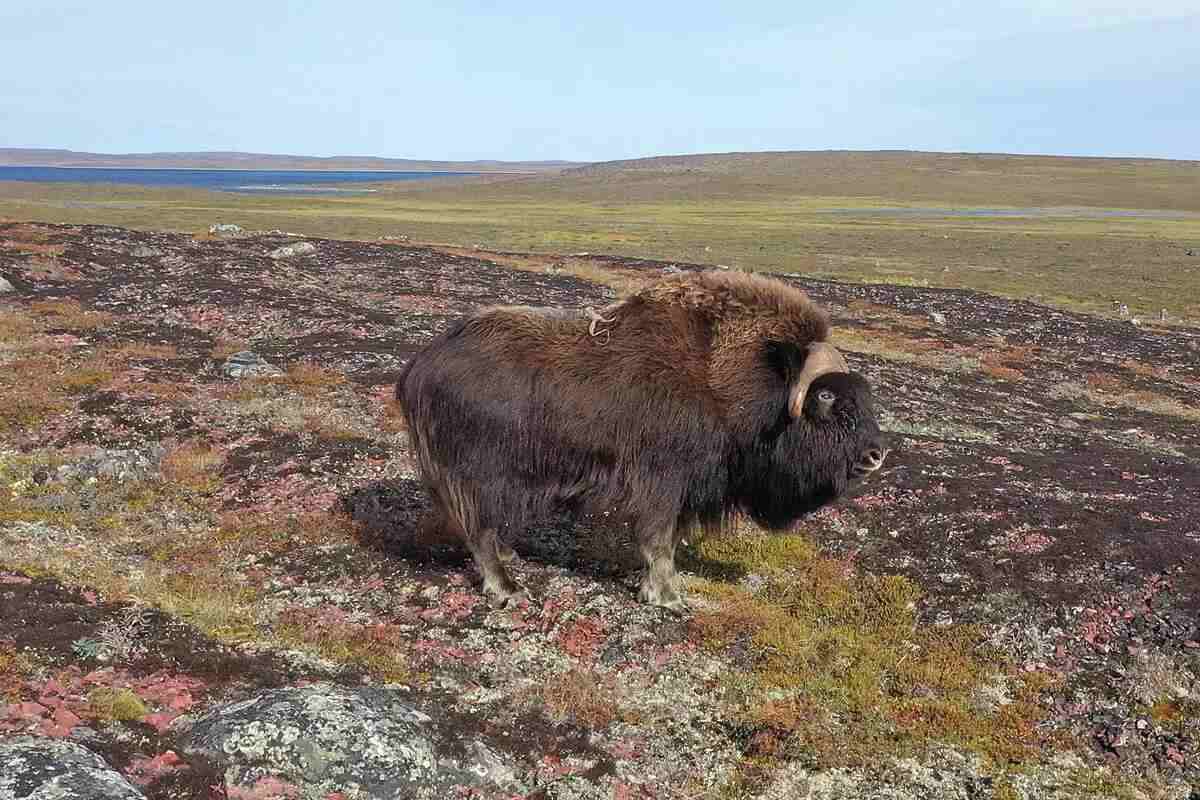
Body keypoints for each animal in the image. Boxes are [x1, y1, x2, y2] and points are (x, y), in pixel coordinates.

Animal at [396, 270, 888, 610]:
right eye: (826, 394)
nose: (875, 455)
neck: (730, 379)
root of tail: (419, 366)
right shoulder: (662, 481)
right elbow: (657, 538)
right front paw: (668, 597)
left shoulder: (688, 488)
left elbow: (668, 539)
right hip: (480, 475)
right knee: (479, 529)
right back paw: (508, 589)